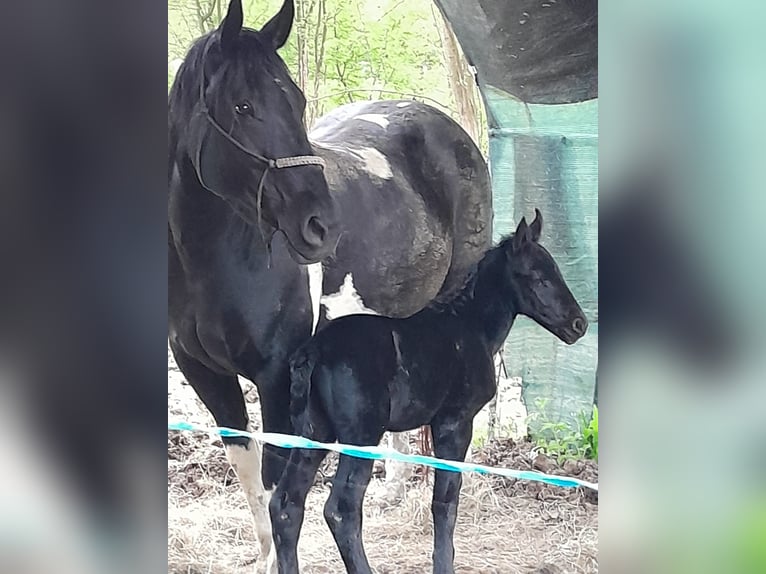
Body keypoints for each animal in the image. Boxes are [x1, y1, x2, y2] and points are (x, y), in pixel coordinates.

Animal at [168, 0, 492, 568]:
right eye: (243, 106)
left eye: (296, 101)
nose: (322, 226)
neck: (213, 262)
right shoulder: (202, 373)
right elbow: (249, 474)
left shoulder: (277, 377)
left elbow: (276, 485)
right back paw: (392, 488)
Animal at [270, 210, 588, 574]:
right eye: (536, 276)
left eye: (556, 270)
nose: (579, 324)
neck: (470, 326)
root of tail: (314, 351)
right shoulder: (455, 421)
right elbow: (445, 500)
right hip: (361, 435)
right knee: (341, 508)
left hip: (313, 433)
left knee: (285, 505)